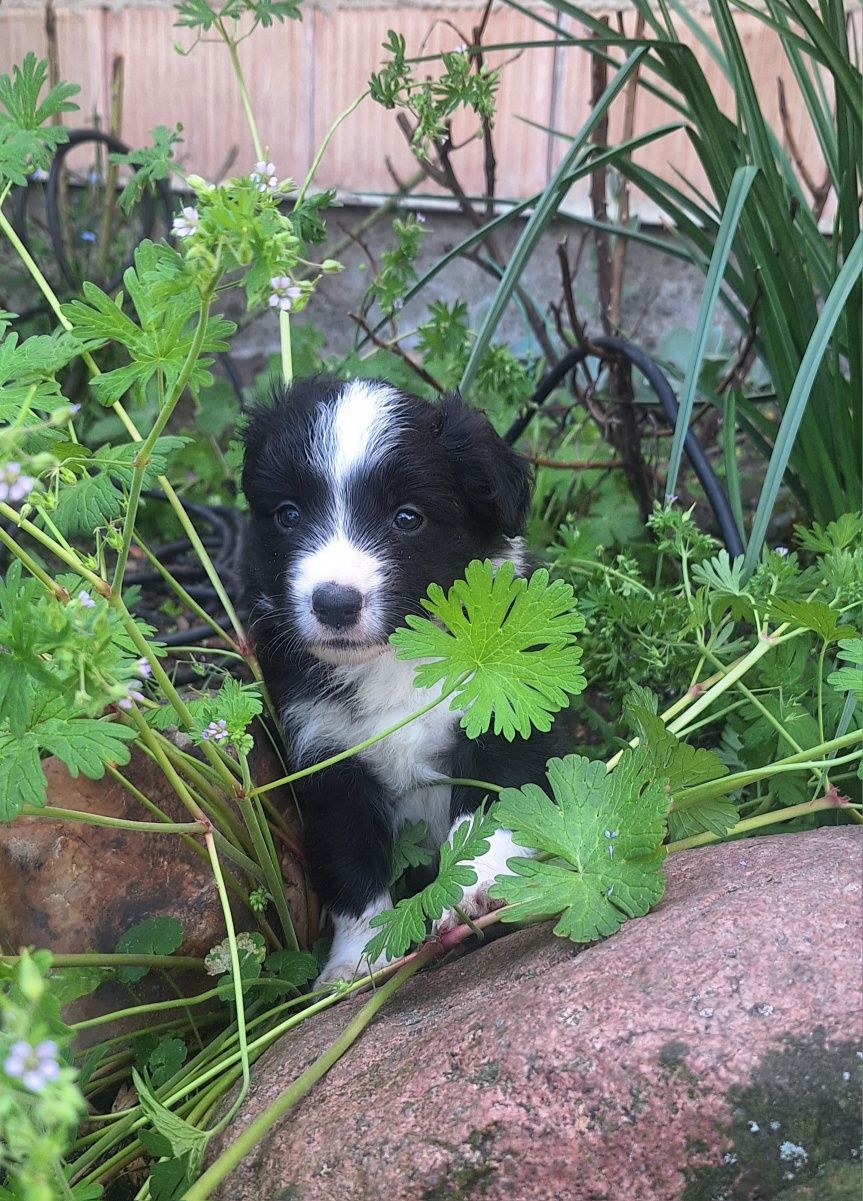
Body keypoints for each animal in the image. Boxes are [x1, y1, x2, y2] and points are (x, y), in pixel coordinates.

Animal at [241, 377, 559, 984]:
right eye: (289, 515)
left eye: (407, 518)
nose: (334, 602)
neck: (395, 659)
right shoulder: (326, 757)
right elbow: (352, 863)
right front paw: (358, 959)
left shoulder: (503, 712)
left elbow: (491, 806)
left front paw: (482, 884)